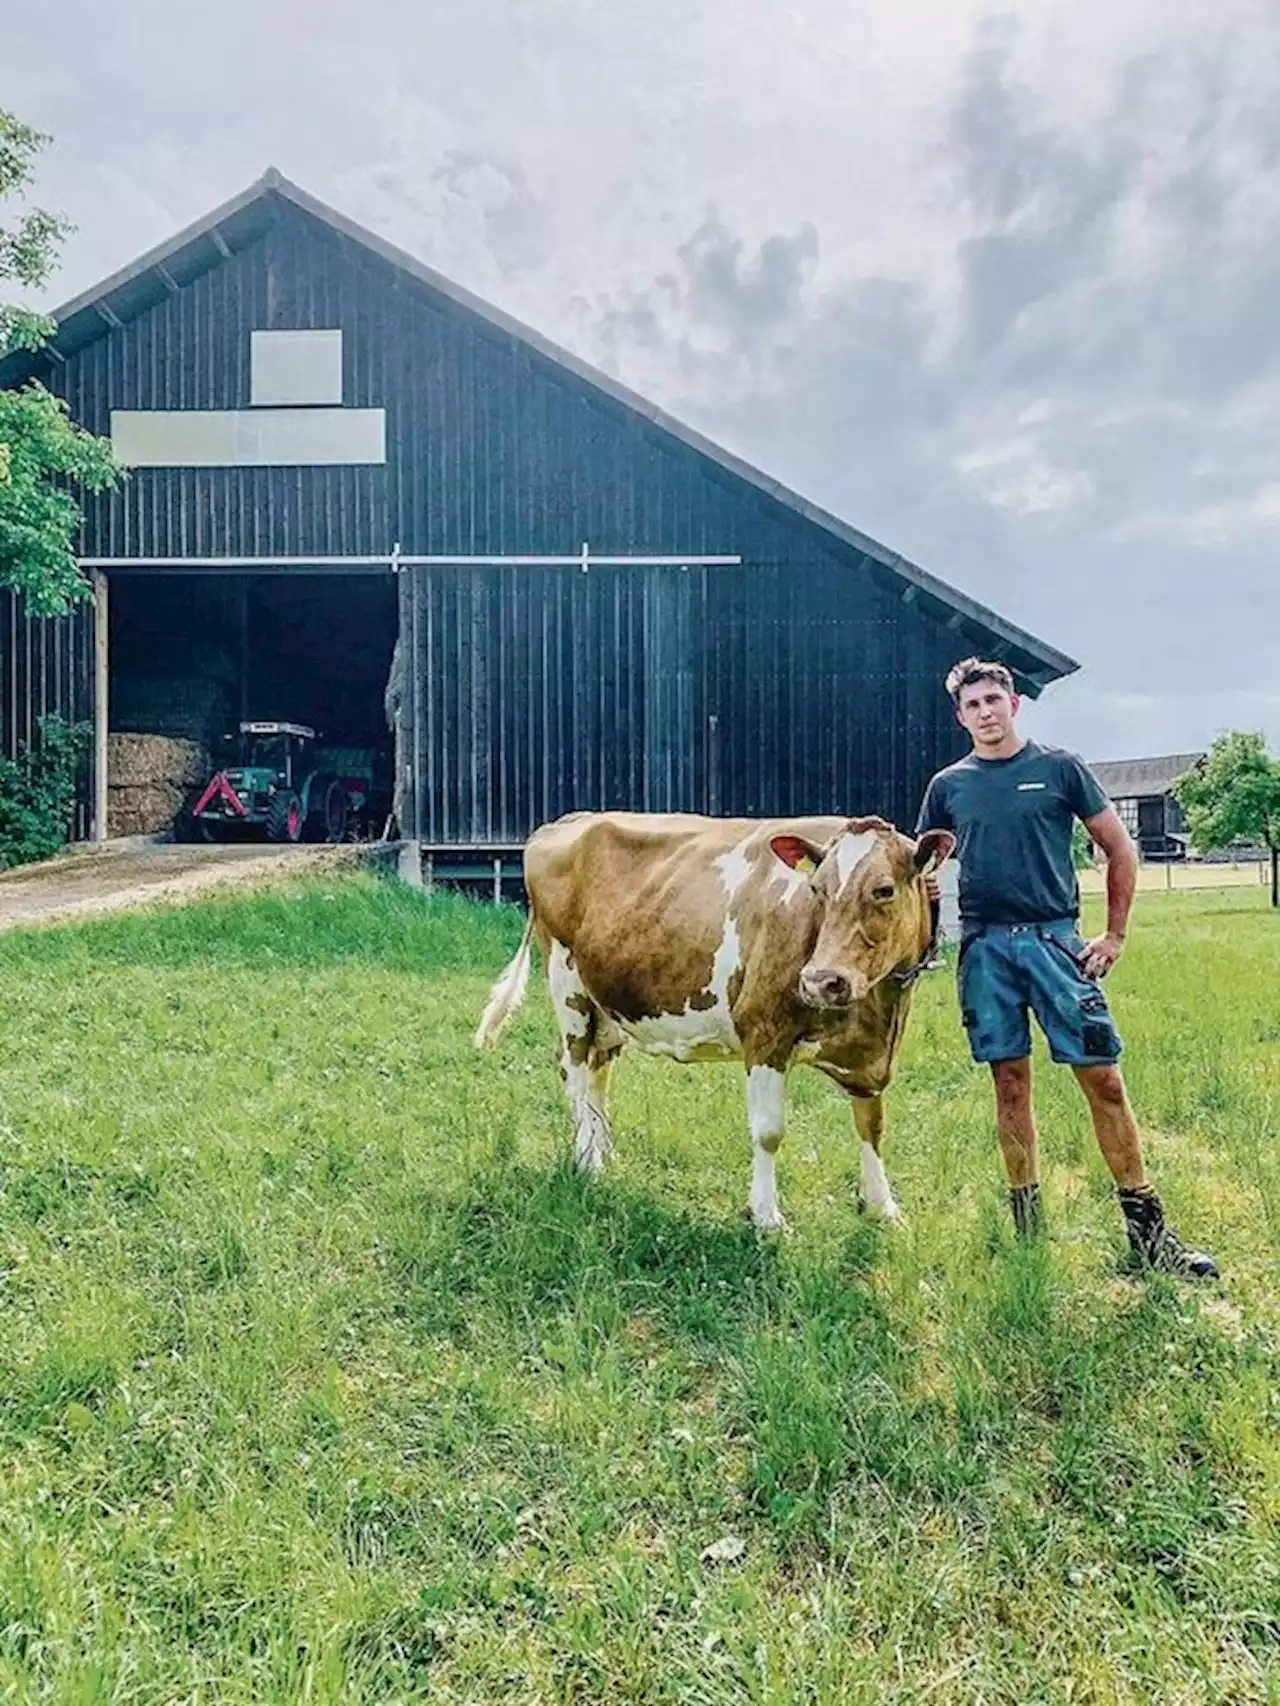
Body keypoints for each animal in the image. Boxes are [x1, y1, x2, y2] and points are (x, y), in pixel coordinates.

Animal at [471, 808, 955, 1228]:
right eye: (817, 890)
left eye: (884, 890)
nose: (820, 980)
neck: (879, 1012)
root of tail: (568, 821)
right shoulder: (763, 1032)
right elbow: (769, 1132)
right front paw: (766, 1217)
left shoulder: (870, 1056)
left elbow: (871, 1125)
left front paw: (882, 1207)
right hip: (566, 982)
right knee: (572, 1069)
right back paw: (587, 1160)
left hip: (607, 1002)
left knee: (596, 1071)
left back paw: (603, 1152)